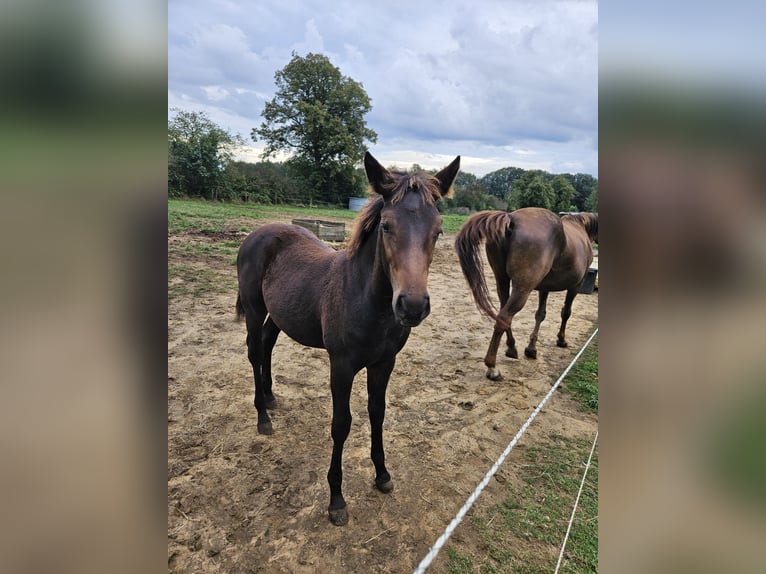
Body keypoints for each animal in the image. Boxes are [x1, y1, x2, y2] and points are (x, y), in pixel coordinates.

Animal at [237, 152, 460, 528]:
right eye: (386, 226)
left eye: (438, 231)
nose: (412, 306)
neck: (368, 302)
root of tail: (257, 233)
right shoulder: (340, 367)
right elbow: (341, 425)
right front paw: (336, 499)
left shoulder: (384, 363)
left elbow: (377, 413)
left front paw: (382, 475)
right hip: (254, 308)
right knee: (254, 351)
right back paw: (262, 418)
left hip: (280, 314)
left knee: (267, 343)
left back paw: (269, 397)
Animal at [456, 208, 600, 382]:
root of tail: (511, 218)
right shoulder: (576, 286)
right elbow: (566, 313)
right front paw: (561, 339)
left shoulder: (545, 288)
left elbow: (540, 314)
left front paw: (531, 349)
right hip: (523, 289)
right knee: (504, 317)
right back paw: (492, 367)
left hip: (502, 281)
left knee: (503, 315)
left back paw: (512, 348)